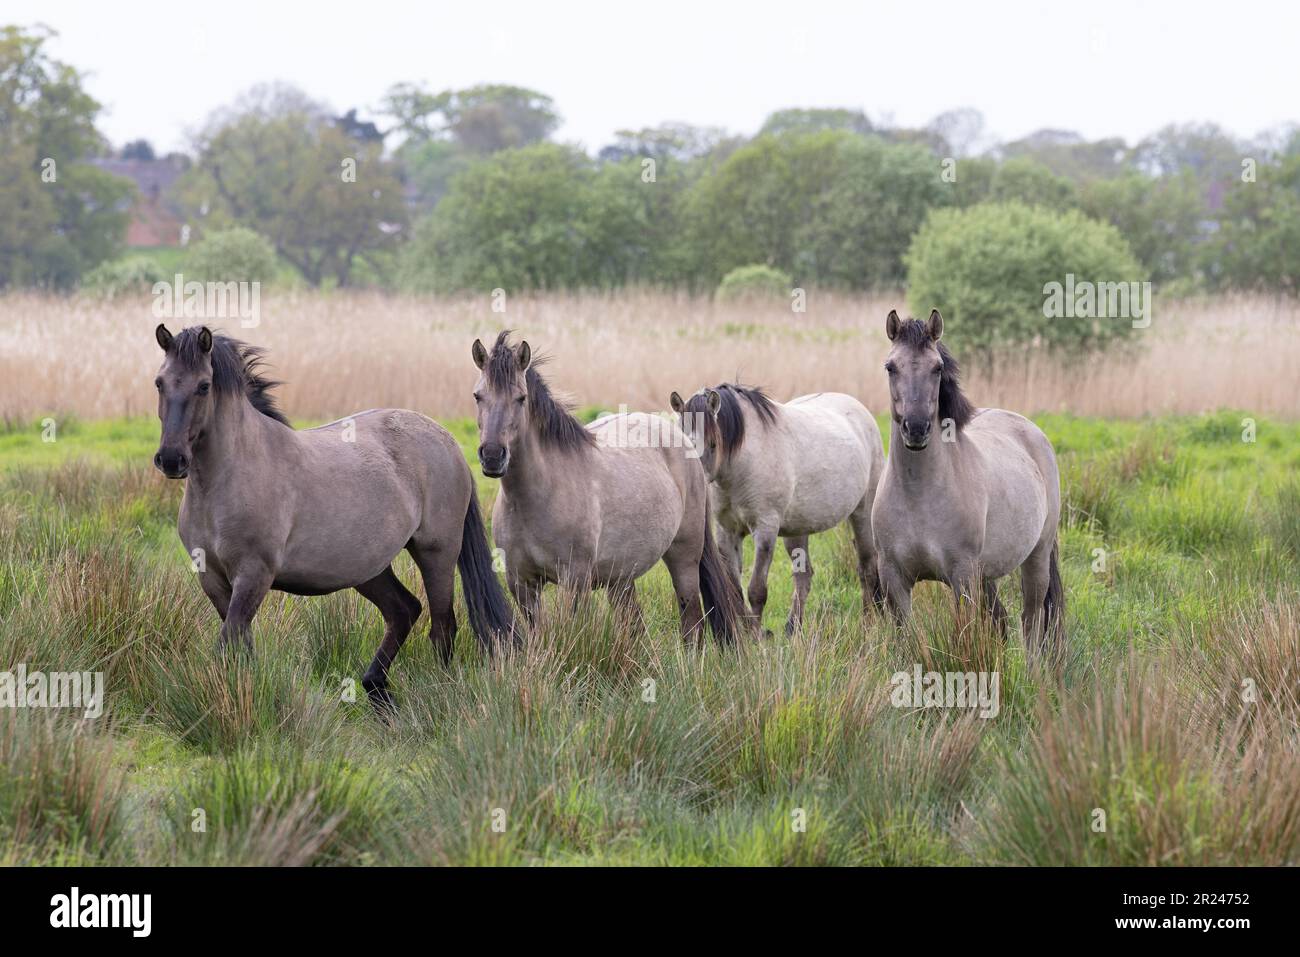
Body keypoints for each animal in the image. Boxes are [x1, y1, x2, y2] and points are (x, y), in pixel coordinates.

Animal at [152, 323, 512, 712]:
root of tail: (448, 441)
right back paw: (375, 689)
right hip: (368, 568)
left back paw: (440, 694)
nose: (171, 459)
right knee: (403, 610)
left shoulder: (253, 575)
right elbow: (240, 646)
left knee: (443, 625)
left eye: (204, 385)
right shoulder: (213, 579)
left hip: (437, 553)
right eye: (160, 382)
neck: (228, 475)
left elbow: (229, 642)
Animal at [473, 332, 748, 647]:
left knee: (692, 621)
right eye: (478, 396)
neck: (536, 497)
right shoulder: (522, 584)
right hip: (621, 576)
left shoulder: (575, 581)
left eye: (521, 398)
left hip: (684, 558)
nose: (493, 456)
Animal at [665, 382, 889, 634]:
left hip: (862, 514)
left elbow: (756, 590)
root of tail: (860, 410)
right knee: (804, 576)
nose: (695, 484)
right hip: (797, 529)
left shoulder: (765, 530)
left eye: (713, 444)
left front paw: (756, 635)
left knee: (867, 569)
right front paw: (749, 632)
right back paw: (793, 629)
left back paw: (868, 624)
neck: (741, 463)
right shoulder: (727, 532)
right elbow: (736, 589)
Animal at [873, 310, 1066, 660]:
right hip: (986, 574)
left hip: (1036, 557)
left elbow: (963, 636)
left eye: (937, 368)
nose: (916, 428)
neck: (918, 496)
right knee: (1002, 620)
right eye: (890, 367)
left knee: (1031, 621)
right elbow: (908, 640)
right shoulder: (894, 577)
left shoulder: (961, 576)